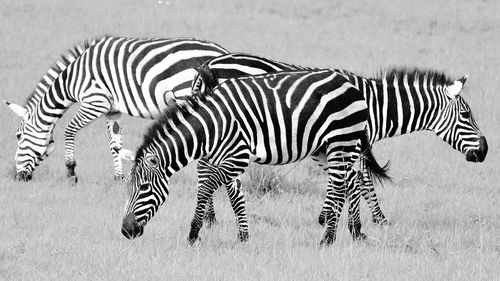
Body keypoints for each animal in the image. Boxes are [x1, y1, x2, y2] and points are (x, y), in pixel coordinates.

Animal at [4, 35, 228, 182]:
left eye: (18, 136)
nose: (16, 177)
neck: (72, 79)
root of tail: (221, 52)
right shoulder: (112, 110)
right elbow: (115, 144)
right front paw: (119, 177)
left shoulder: (95, 101)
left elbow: (69, 130)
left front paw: (71, 170)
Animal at [120, 69, 386, 244]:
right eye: (127, 187)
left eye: (143, 188)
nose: (126, 231)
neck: (213, 125)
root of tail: (351, 83)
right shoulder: (226, 159)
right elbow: (235, 196)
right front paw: (243, 237)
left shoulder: (237, 156)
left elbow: (205, 188)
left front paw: (194, 233)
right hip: (326, 147)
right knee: (351, 181)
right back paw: (355, 232)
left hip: (341, 140)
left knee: (341, 186)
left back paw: (328, 239)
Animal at [188, 52, 488, 225]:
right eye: (466, 114)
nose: (485, 151)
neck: (375, 104)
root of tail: (208, 64)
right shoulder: (351, 142)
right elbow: (359, 182)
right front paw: (368, 222)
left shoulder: (336, 144)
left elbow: (346, 181)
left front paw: (329, 217)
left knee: (205, 166)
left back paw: (209, 217)